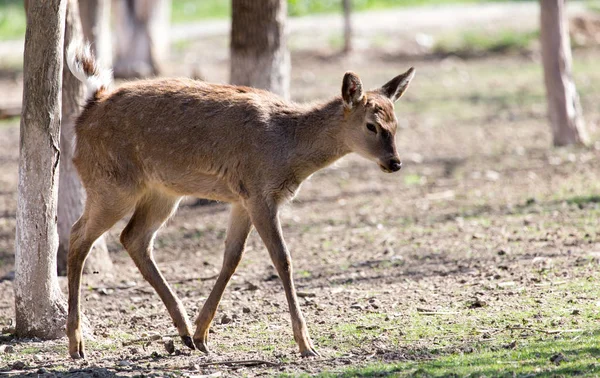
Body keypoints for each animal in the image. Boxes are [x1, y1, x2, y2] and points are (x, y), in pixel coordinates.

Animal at [64, 42, 412, 360]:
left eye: (396, 124)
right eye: (371, 125)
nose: (395, 163)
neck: (288, 150)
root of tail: (91, 104)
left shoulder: (241, 199)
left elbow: (232, 257)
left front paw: (203, 334)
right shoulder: (260, 192)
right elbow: (282, 259)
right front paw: (306, 344)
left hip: (162, 192)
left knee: (133, 238)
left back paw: (184, 332)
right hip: (111, 183)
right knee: (78, 236)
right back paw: (76, 345)